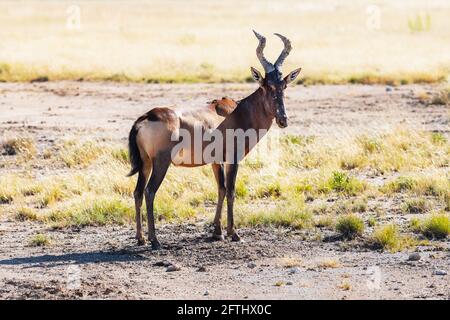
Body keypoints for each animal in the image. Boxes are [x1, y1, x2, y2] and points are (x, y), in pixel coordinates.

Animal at [128, 30, 300, 250]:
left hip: (146, 163)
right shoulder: (233, 159)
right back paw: (155, 241)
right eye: (266, 85)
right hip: (161, 162)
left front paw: (217, 232)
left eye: (283, 85)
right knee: (150, 192)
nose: (283, 119)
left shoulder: (216, 161)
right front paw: (234, 233)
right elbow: (232, 191)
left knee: (138, 192)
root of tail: (146, 117)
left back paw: (140, 238)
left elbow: (221, 189)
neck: (237, 110)